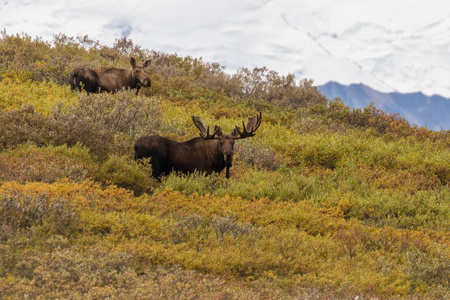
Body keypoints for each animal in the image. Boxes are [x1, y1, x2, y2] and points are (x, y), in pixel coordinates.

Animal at [134, 112, 262, 178]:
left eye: (233, 142)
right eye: (220, 142)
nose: (229, 155)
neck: (217, 162)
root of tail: (136, 145)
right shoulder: (203, 173)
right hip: (154, 168)